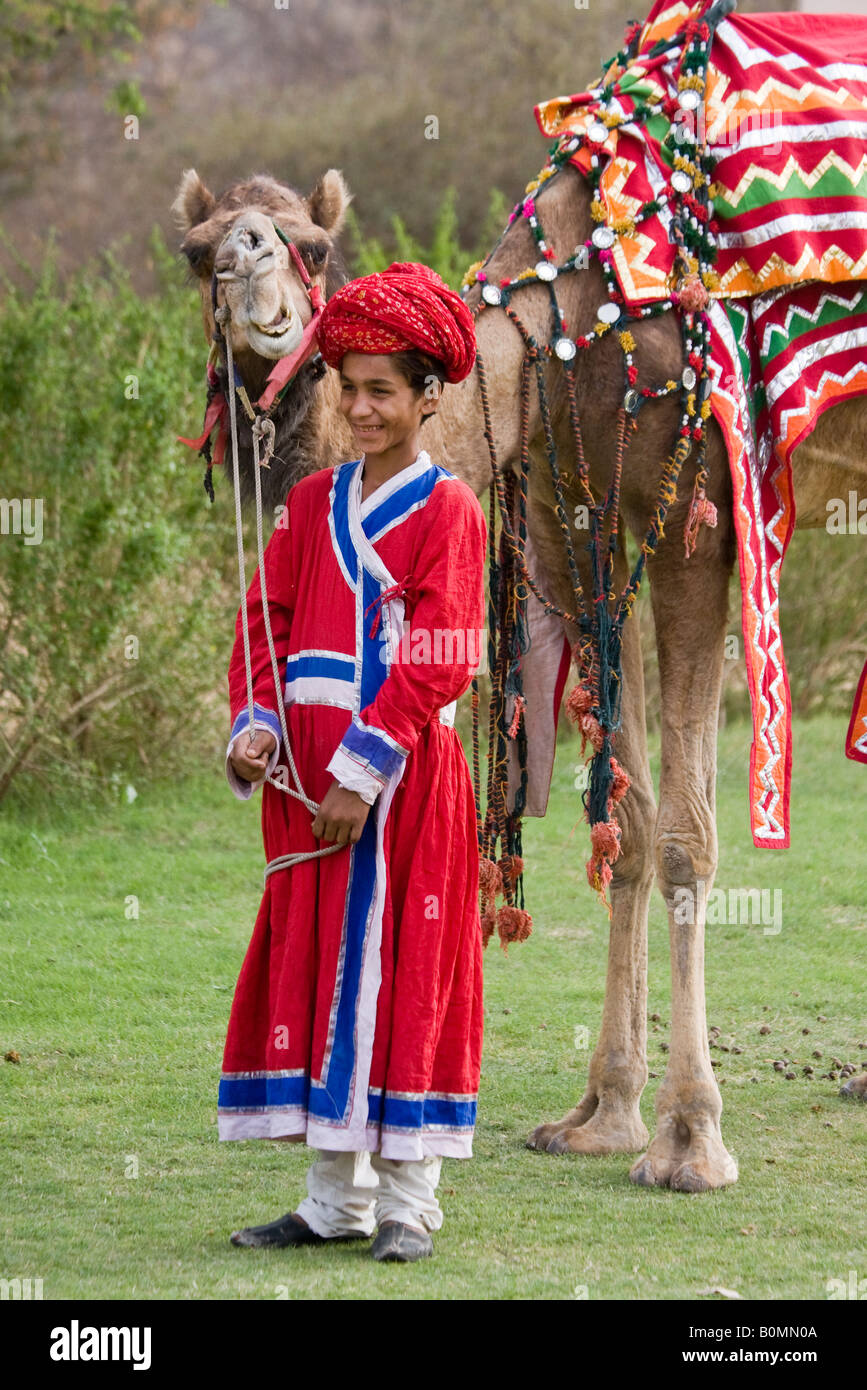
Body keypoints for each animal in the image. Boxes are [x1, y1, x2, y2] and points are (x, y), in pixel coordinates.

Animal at [176, 157, 867, 1189]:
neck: (561, 310)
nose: (245, 264)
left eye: (314, 246)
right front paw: (602, 1115)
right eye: (192, 253)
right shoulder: (573, 515)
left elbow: (685, 837)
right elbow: (628, 818)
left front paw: (687, 1140)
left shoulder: (698, 512)